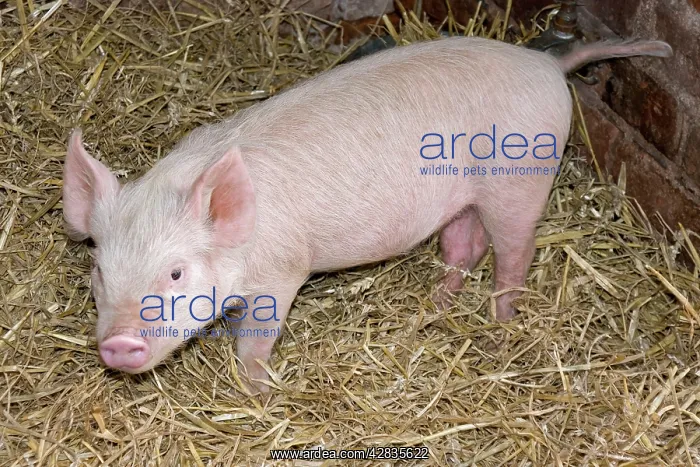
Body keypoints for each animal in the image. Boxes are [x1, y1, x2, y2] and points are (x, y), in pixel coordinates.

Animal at [63, 36, 672, 390]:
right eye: (99, 272)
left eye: (175, 273)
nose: (117, 344)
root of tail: (547, 62)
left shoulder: (284, 269)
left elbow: (255, 339)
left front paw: (259, 390)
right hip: (464, 195)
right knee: (465, 244)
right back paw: (437, 305)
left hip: (519, 183)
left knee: (517, 251)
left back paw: (501, 321)